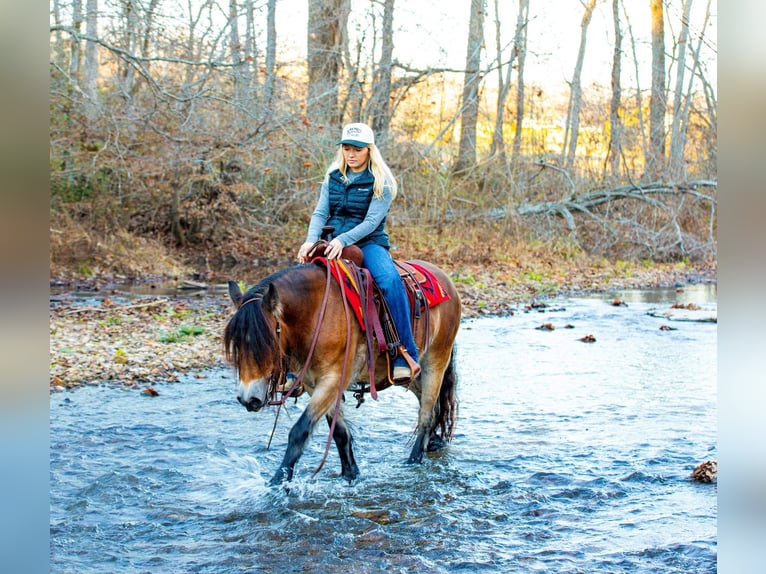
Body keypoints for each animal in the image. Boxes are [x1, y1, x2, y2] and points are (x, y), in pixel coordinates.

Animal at [223, 259, 461, 485]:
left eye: (267, 343)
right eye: (237, 346)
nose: (248, 399)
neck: (317, 313)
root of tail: (447, 282)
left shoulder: (333, 379)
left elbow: (300, 431)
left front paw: (278, 482)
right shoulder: (313, 384)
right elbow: (339, 432)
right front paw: (350, 473)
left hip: (435, 361)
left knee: (427, 415)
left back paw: (413, 461)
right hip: (412, 376)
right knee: (434, 407)